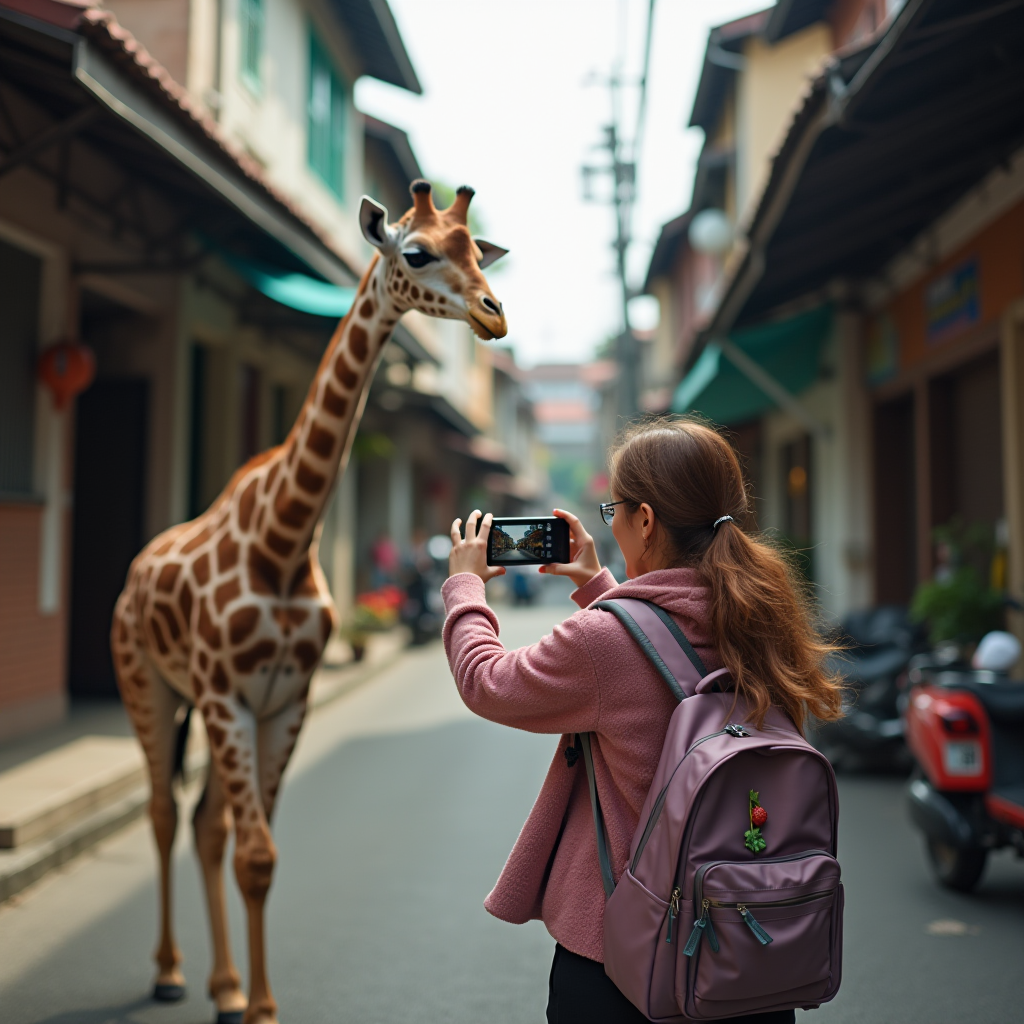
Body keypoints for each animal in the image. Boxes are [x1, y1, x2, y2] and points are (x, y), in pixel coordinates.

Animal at [110, 180, 505, 1024]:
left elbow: (259, 851)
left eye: (480, 256)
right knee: (164, 811)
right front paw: (256, 1004)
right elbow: (255, 851)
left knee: (206, 824)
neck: (284, 541)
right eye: (415, 252)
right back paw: (169, 972)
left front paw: (255, 1003)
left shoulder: (285, 698)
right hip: (149, 683)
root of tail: (135, 571)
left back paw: (223, 985)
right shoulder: (229, 694)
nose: (494, 314)